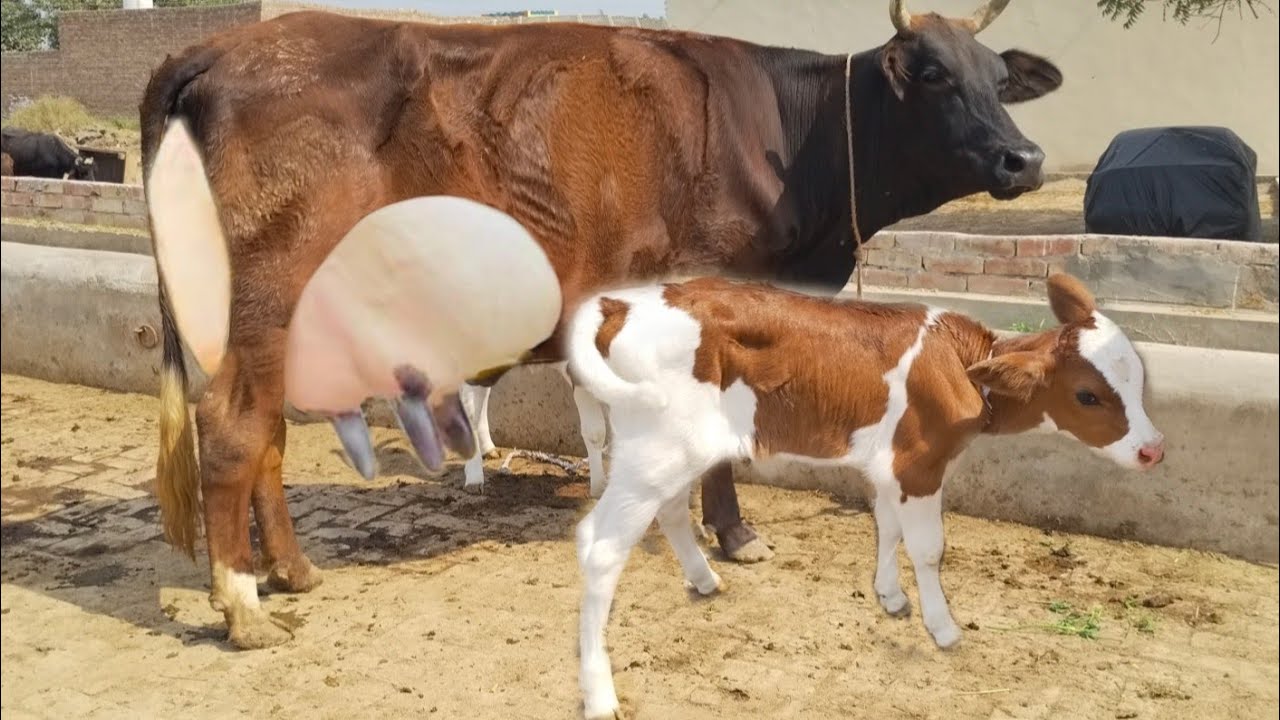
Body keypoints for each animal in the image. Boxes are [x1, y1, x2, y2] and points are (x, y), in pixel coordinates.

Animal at [139, 0, 1064, 649]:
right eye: (933, 73)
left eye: (997, 78)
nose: (1025, 158)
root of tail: (212, 49)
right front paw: (734, 534)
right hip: (265, 297)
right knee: (232, 429)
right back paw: (244, 608)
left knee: (266, 434)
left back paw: (291, 573)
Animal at [566, 272, 1165, 717]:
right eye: (1087, 395)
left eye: (1137, 379)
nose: (1153, 449)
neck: (960, 367)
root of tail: (625, 303)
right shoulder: (920, 465)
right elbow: (928, 549)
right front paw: (943, 628)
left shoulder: (891, 465)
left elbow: (887, 527)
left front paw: (890, 596)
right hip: (659, 447)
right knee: (601, 546)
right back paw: (599, 695)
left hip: (672, 449)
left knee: (668, 511)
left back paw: (705, 579)